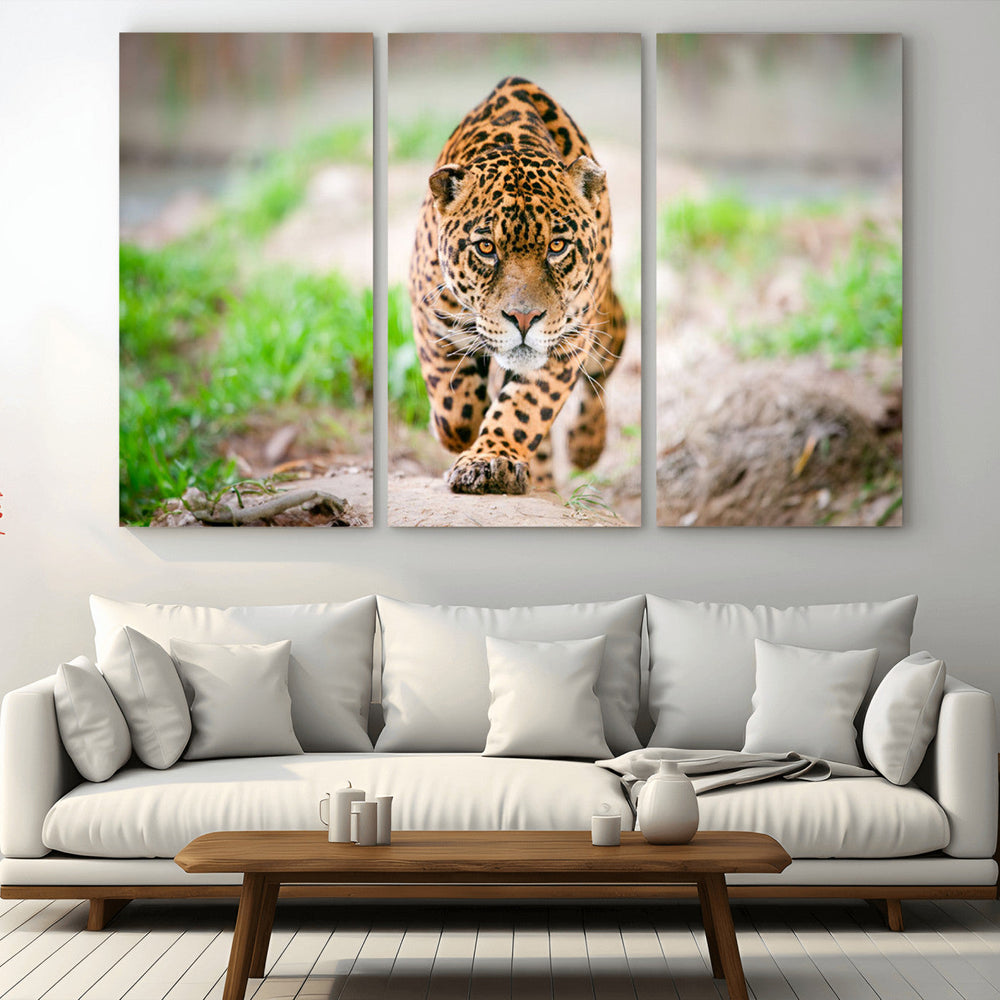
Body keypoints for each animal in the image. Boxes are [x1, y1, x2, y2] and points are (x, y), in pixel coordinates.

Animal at [408, 76, 627, 495]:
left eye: (557, 246)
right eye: (486, 248)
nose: (524, 319)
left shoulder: (567, 339)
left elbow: (524, 408)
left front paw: (490, 460)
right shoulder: (430, 315)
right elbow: (454, 406)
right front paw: (459, 434)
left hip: (604, 321)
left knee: (607, 359)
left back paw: (585, 445)